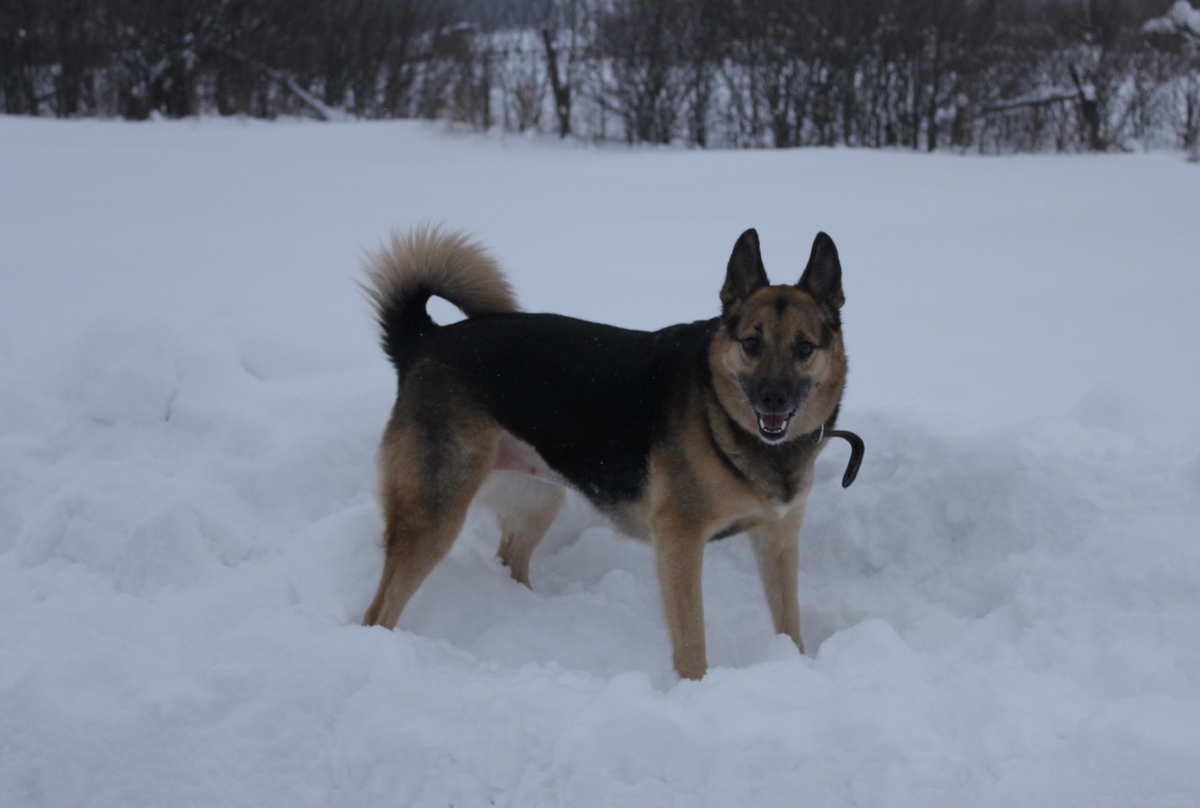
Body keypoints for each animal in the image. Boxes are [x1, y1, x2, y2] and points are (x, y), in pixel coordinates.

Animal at [360, 223, 859, 677]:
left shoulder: (778, 540)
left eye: (804, 348)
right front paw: (695, 691)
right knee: (377, 613)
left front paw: (795, 668)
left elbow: (790, 624)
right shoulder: (679, 539)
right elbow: (692, 641)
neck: (719, 410)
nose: (773, 400)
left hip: (537, 499)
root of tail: (424, 338)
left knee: (510, 562)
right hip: (434, 515)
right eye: (751, 343)